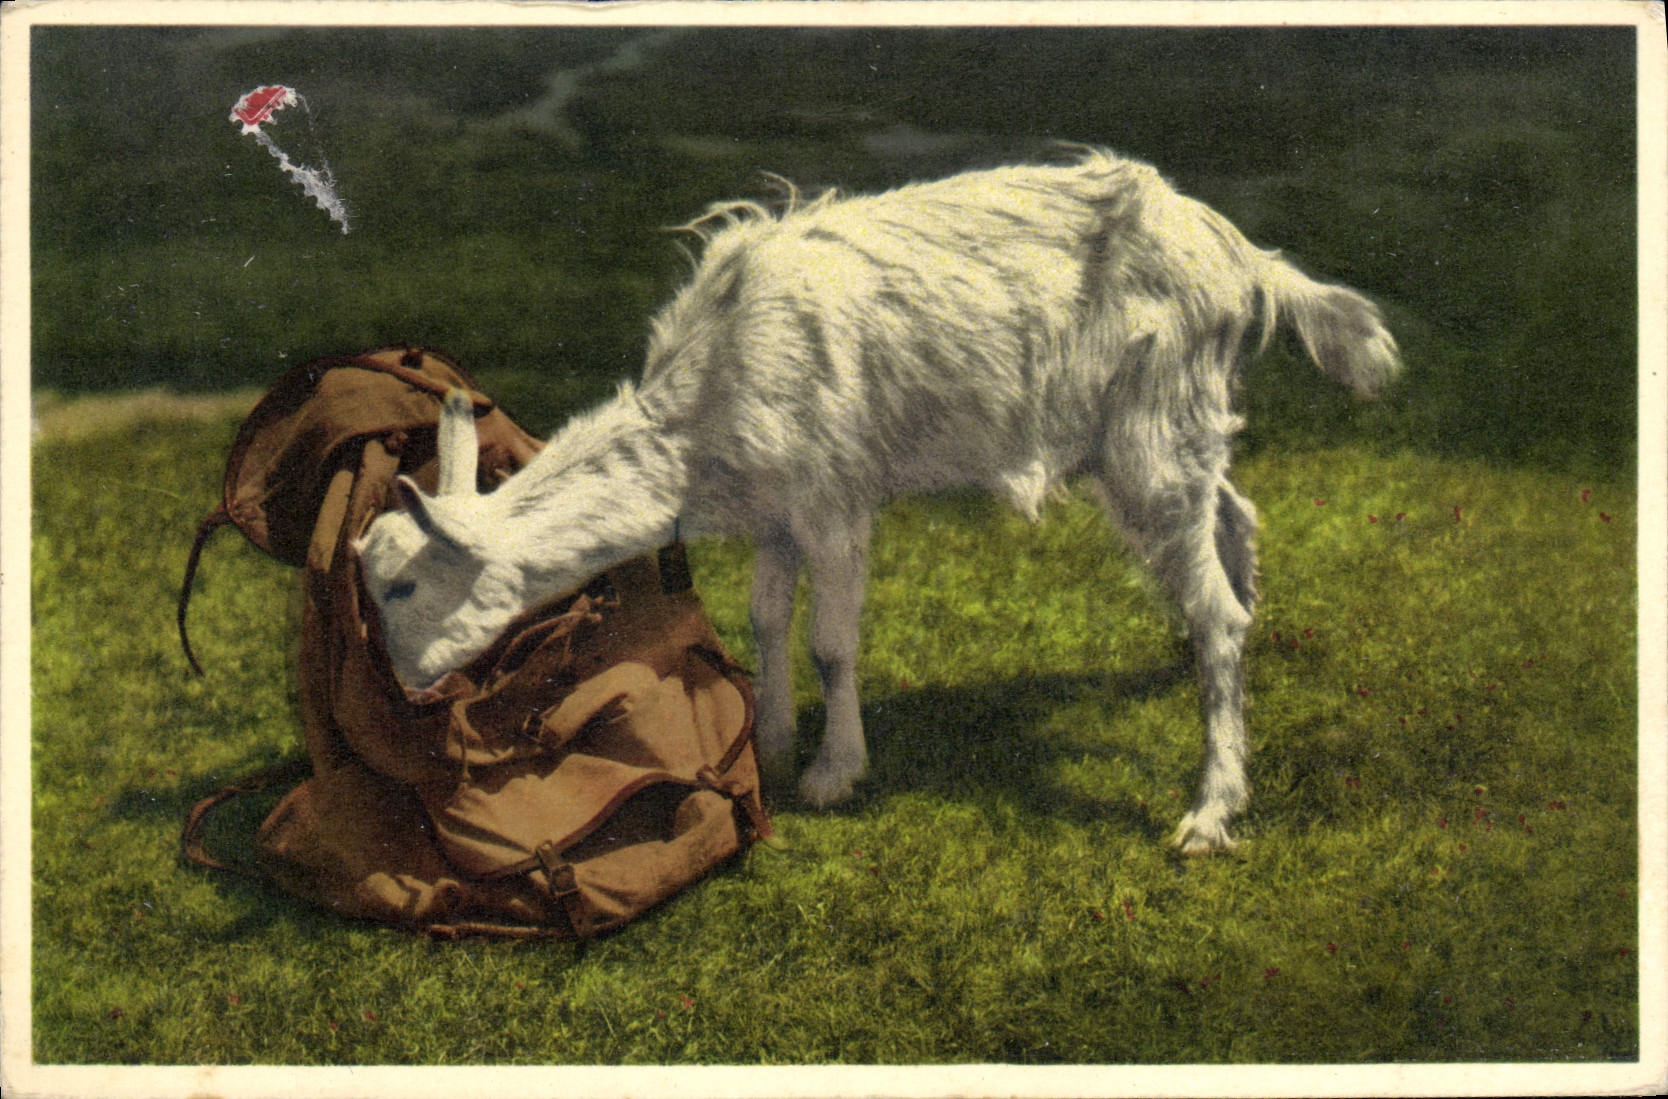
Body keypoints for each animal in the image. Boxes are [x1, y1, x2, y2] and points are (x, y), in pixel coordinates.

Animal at [354, 147, 1400, 853]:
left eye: (403, 587)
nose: (399, 696)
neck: (700, 415)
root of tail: (1245, 261)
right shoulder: (776, 512)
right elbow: (766, 618)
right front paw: (774, 739)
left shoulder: (832, 496)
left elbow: (831, 639)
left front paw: (833, 772)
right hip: (1166, 431)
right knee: (1234, 519)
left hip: (1152, 425)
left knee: (1216, 607)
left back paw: (1209, 808)